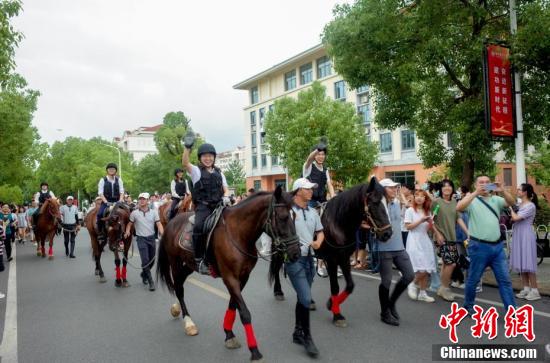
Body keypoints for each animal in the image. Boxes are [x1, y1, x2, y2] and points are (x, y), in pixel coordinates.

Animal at [155, 186, 302, 362]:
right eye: (283, 217)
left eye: (295, 216)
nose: (296, 253)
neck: (238, 233)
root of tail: (171, 223)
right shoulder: (230, 278)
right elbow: (244, 312)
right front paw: (254, 349)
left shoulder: (242, 277)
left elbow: (233, 305)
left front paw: (228, 334)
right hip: (175, 263)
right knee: (178, 288)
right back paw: (189, 322)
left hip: (189, 265)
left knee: (180, 284)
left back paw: (177, 308)